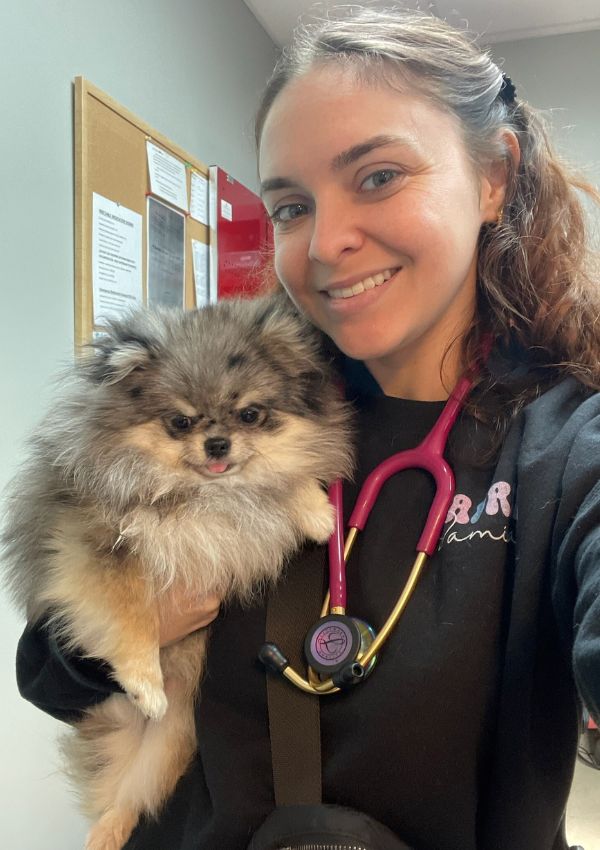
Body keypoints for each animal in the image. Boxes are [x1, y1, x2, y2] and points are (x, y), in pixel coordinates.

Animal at [2, 294, 354, 848]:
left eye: (250, 414)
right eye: (181, 423)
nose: (218, 444)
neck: (200, 492)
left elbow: (275, 480)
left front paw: (316, 510)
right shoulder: (94, 546)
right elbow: (130, 616)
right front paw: (146, 682)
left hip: (172, 742)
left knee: (132, 796)